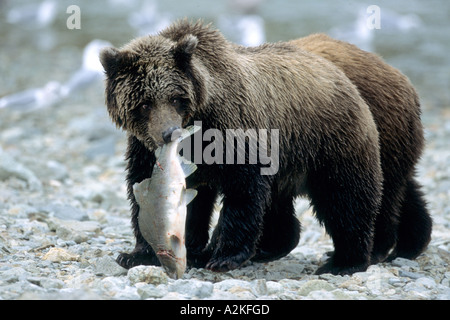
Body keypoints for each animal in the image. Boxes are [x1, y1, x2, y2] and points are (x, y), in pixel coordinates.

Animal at [100, 20, 430, 276]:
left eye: (175, 98)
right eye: (144, 103)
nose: (169, 133)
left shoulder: (234, 130)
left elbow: (243, 189)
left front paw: (223, 255)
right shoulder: (146, 149)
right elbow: (150, 192)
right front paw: (138, 253)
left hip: (335, 142)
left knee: (349, 197)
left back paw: (349, 259)